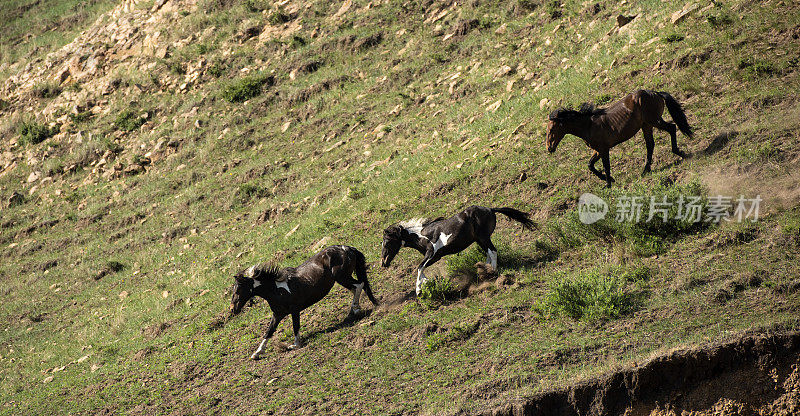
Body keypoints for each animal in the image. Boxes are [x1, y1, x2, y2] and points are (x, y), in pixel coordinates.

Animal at [228, 245, 378, 360]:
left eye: (238, 290)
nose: (232, 309)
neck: (276, 290)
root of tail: (347, 248)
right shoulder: (278, 315)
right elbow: (269, 332)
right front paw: (257, 353)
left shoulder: (295, 310)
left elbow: (296, 327)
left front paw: (294, 345)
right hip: (343, 278)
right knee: (357, 287)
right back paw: (353, 311)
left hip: (342, 277)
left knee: (359, 285)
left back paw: (355, 309)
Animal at [380, 206, 532, 294]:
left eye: (387, 242)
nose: (383, 262)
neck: (422, 235)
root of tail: (490, 209)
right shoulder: (434, 257)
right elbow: (421, 269)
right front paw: (426, 282)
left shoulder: (432, 254)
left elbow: (419, 267)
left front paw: (419, 289)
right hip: (479, 240)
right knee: (489, 253)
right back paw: (484, 271)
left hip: (483, 237)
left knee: (492, 251)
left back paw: (492, 272)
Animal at [548, 91, 692, 190]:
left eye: (551, 129)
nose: (549, 148)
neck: (588, 125)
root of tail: (655, 93)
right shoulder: (598, 150)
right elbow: (590, 165)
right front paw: (610, 180)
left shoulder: (604, 150)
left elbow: (606, 166)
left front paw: (608, 184)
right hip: (647, 125)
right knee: (650, 144)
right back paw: (646, 170)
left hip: (654, 121)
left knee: (671, 128)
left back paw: (680, 153)